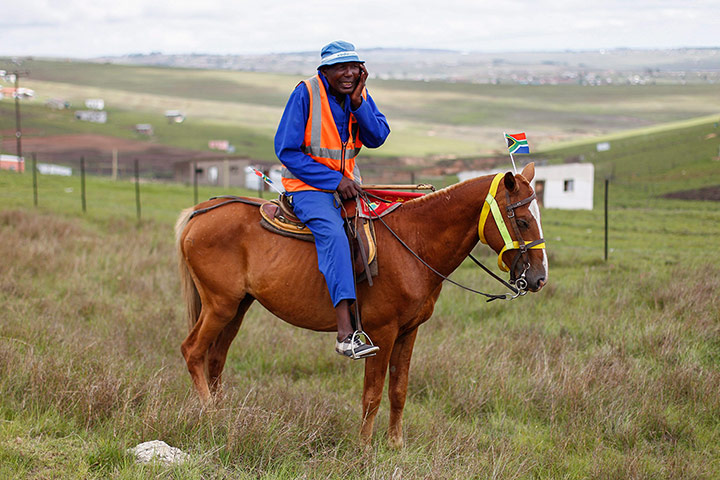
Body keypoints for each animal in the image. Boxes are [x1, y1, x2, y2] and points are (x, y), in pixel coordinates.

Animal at [175, 162, 547, 448]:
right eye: (523, 221)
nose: (539, 278)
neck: (413, 241)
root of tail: (198, 212)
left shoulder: (409, 331)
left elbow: (398, 389)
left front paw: (396, 445)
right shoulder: (381, 332)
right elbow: (373, 393)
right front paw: (365, 448)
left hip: (238, 307)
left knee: (216, 359)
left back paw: (224, 415)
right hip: (220, 305)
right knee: (193, 351)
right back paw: (211, 415)